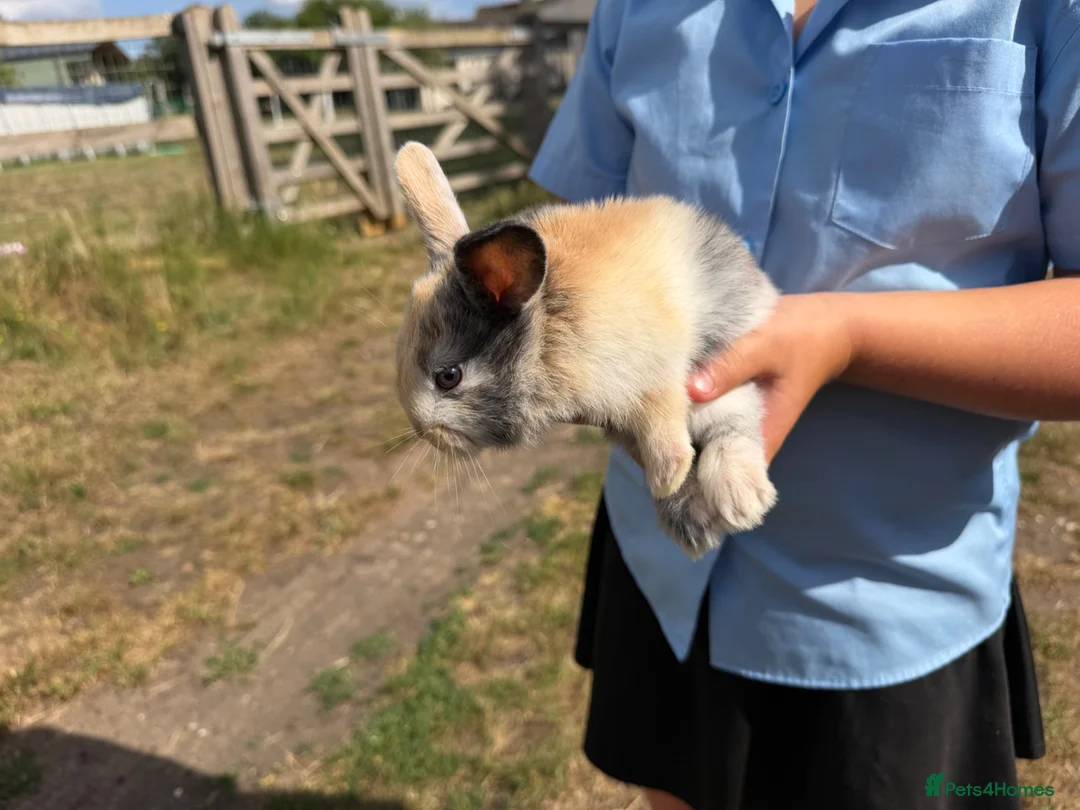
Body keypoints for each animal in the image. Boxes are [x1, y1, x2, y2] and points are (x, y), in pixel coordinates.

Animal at [392, 141, 779, 559]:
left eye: (448, 377)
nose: (424, 432)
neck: (545, 329)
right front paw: (673, 486)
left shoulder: (658, 368)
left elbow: (662, 419)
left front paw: (667, 476)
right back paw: (699, 522)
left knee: (734, 424)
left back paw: (741, 500)